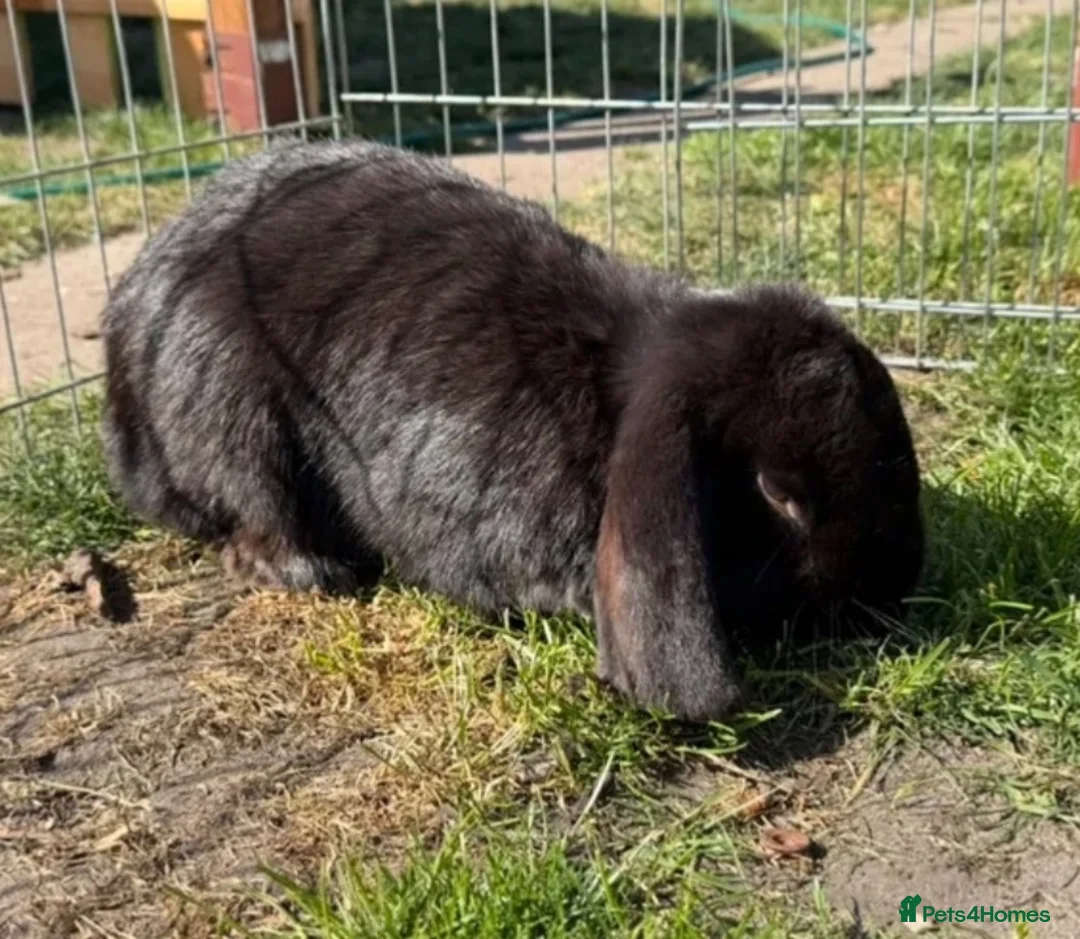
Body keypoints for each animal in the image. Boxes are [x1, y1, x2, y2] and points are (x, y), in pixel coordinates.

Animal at [100, 138, 924, 723]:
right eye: (780, 497)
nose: (897, 589)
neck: (608, 397)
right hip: (231, 413)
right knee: (253, 516)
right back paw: (317, 571)